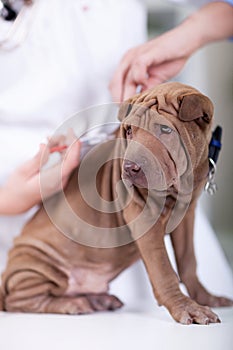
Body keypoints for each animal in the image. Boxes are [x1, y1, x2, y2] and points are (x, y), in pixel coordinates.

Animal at [0, 82, 232, 326]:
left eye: (165, 130)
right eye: (129, 131)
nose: (129, 168)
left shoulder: (187, 215)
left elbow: (188, 260)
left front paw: (205, 297)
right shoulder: (144, 217)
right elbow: (163, 270)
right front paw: (186, 307)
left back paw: (99, 300)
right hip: (36, 264)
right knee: (20, 300)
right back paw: (72, 304)